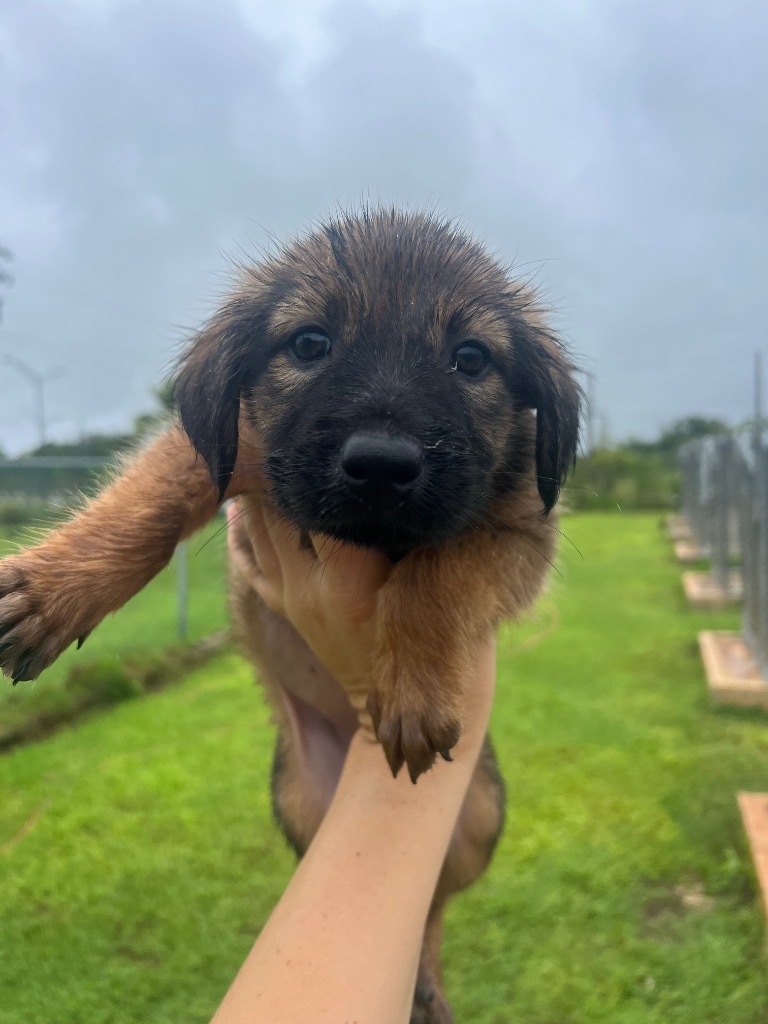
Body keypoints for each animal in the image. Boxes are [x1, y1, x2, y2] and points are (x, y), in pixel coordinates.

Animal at [0, 209, 577, 1024]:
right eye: (309, 343)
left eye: (471, 358)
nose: (382, 465)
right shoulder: (225, 444)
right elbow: (149, 505)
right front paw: (57, 585)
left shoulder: (520, 528)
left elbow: (434, 573)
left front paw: (413, 686)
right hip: (299, 800)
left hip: (480, 816)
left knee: (430, 906)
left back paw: (426, 984)